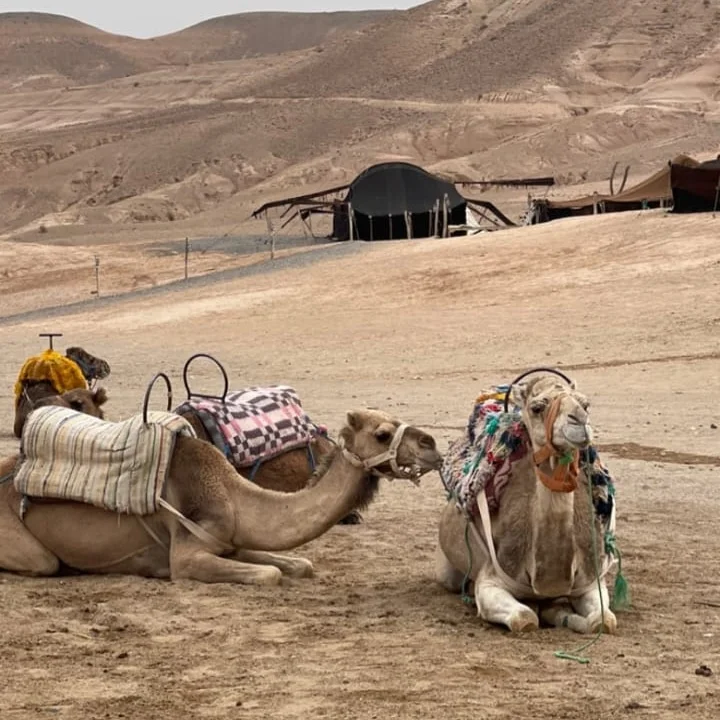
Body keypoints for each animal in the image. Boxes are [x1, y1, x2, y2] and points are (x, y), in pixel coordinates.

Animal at [0, 408, 442, 584]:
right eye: (383, 434)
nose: (433, 445)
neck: (231, 493)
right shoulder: (186, 555)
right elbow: (270, 574)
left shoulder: (232, 541)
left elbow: (298, 565)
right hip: (28, 548)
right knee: (41, 563)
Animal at [436, 374, 621, 635]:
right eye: (537, 407)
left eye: (585, 405)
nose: (580, 421)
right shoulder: (491, 579)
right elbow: (524, 618)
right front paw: (543, 610)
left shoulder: (590, 580)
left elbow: (603, 621)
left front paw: (563, 614)